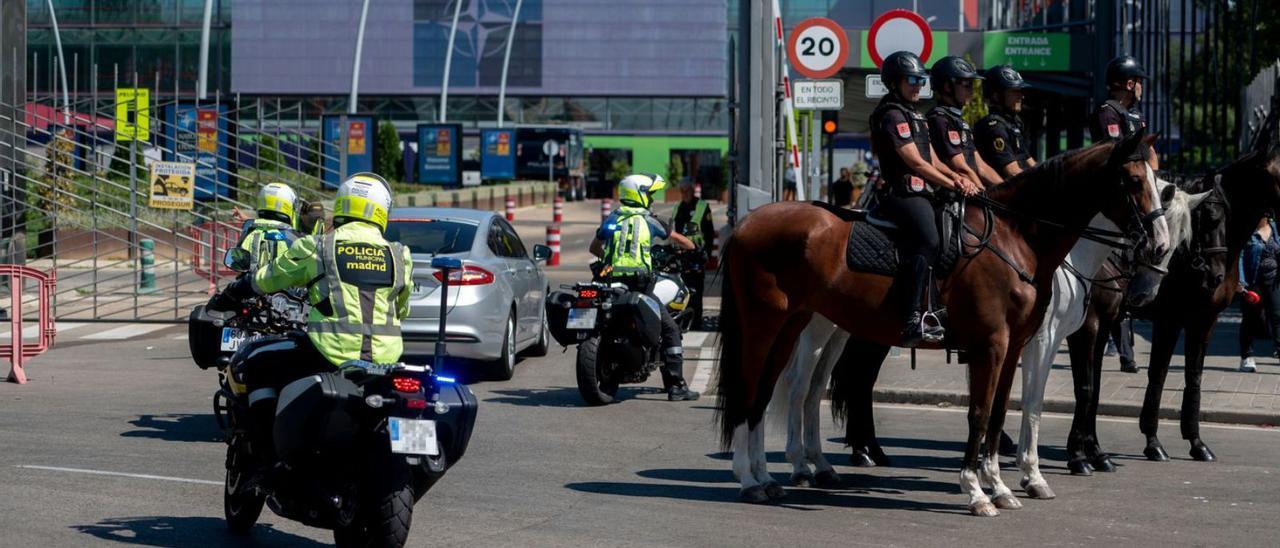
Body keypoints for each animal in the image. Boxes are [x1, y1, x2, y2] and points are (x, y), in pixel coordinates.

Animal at [711, 130, 1172, 514]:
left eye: (1158, 183)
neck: (1016, 237)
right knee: (756, 389)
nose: (1160, 246)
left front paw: (1000, 486)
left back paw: (777, 474)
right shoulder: (996, 344)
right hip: (766, 325)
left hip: (798, 326)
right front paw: (977, 490)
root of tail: (747, 222)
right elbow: (983, 413)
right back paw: (751, 478)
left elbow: (1003, 412)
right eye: (1134, 181)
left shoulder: (1015, 346)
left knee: (774, 392)